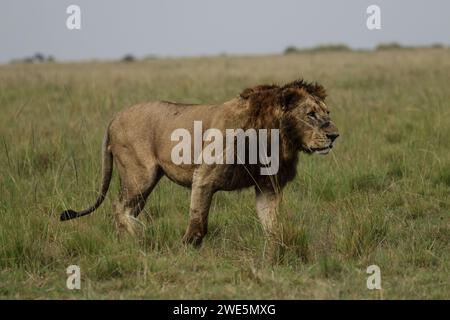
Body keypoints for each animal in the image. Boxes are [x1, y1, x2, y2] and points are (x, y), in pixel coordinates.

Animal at [61, 79, 340, 246]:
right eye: (310, 114)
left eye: (327, 113)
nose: (335, 135)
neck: (276, 137)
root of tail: (114, 117)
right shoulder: (204, 177)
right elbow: (199, 221)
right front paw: (186, 247)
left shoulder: (267, 187)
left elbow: (271, 224)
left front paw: (277, 248)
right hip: (140, 175)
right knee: (119, 207)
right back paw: (142, 236)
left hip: (142, 183)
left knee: (125, 209)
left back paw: (127, 241)